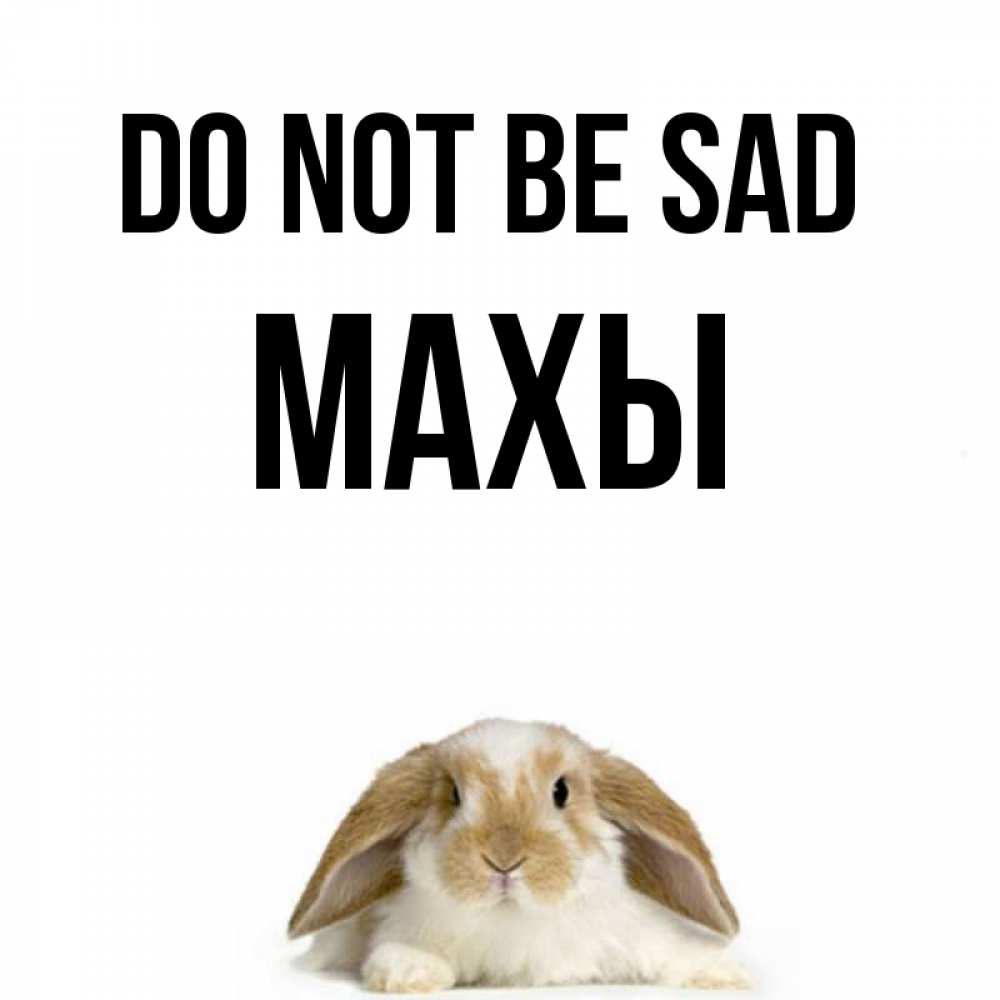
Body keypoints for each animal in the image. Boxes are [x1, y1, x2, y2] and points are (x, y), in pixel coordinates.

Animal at [288, 719, 750, 991]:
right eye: (454, 795)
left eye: (561, 791)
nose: (504, 859)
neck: (514, 919)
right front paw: (409, 973)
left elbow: (674, 950)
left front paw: (725, 973)